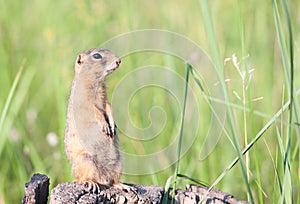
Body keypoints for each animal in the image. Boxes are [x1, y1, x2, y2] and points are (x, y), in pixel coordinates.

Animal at [64, 47, 127, 193]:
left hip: (118, 162)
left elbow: (108, 107)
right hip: (85, 161)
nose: (119, 60)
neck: (97, 82)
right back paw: (91, 183)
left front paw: (112, 125)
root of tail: (103, 178)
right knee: (82, 178)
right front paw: (105, 125)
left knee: (112, 182)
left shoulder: (104, 98)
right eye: (97, 56)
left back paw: (121, 185)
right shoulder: (85, 102)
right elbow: (95, 111)